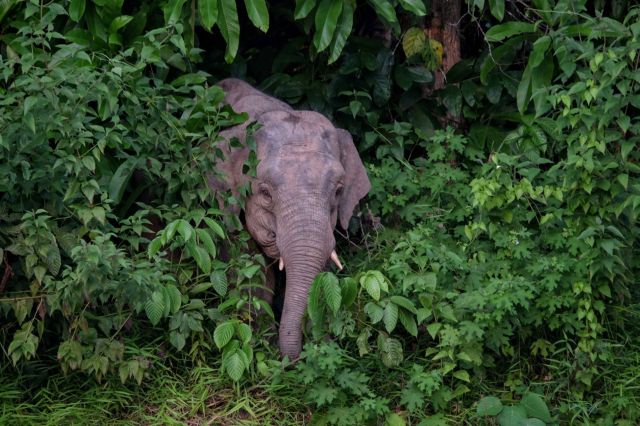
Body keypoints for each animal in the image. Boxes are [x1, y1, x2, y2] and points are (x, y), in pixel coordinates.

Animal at [209, 78, 370, 358]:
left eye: (338, 191)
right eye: (265, 193)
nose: (297, 356)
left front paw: (324, 346)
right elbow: (251, 273)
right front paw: (264, 347)